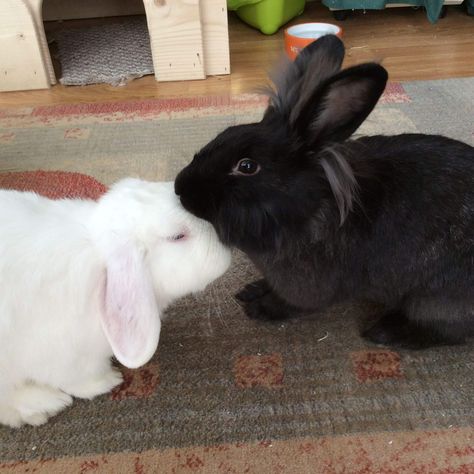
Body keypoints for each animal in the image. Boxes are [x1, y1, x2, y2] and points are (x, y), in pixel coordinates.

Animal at [0, 179, 230, 430]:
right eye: (177, 236)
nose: (225, 237)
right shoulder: (59, 355)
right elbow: (77, 381)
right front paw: (108, 381)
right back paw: (47, 404)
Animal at [175, 34, 474, 348]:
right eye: (223, 135)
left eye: (247, 166)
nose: (180, 188)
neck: (309, 210)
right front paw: (251, 290)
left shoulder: (304, 289)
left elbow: (289, 303)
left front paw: (259, 308)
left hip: (433, 302)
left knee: (444, 332)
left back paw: (382, 333)